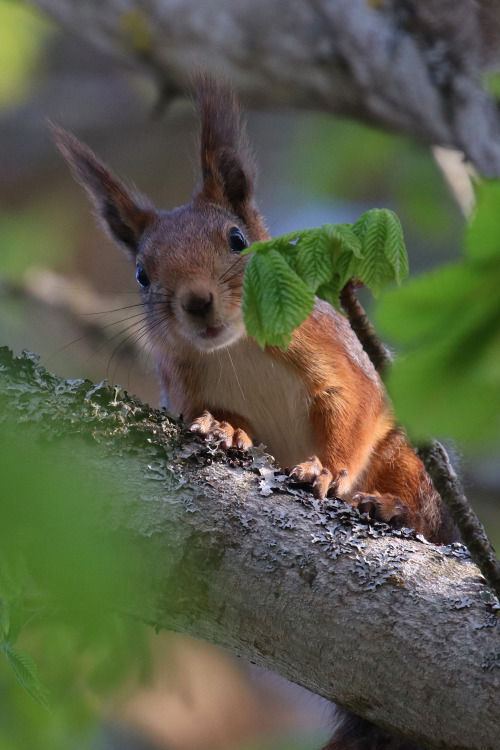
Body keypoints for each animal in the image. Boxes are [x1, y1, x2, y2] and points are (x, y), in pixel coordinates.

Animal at [53, 78, 458, 750]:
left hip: (411, 461)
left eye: (237, 240)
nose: (196, 303)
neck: (238, 346)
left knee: (417, 502)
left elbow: (351, 407)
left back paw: (390, 507)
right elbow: (205, 412)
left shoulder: (339, 363)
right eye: (141, 274)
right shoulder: (181, 385)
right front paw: (223, 429)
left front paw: (325, 470)